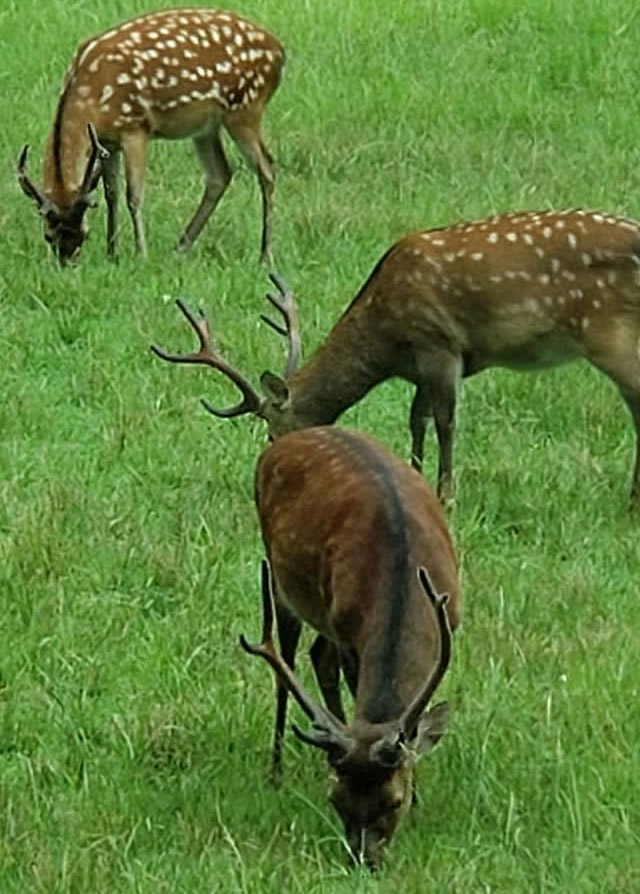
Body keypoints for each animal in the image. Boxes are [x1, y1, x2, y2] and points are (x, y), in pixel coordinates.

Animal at [17, 8, 284, 265]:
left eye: (83, 233)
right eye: (49, 235)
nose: (67, 260)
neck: (91, 99)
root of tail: (279, 52)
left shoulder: (135, 127)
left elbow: (133, 195)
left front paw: (140, 254)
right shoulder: (107, 141)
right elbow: (111, 194)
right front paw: (112, 253)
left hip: (245, 108)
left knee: (266, 167)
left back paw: (265, 255)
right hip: (207, 126)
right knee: (220, 174)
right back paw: (180, 248)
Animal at [151, 208, 640, 504]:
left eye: (273, 433)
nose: (273, 469)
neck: (384, 340)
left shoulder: (439, 344)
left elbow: (445, 422)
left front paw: (446, 495)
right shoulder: (420, 364)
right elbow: (416, 420)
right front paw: (415, 476)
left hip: (609, 334)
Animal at [242, 425, 460, 868]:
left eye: (394, 801)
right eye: (336, 800)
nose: (364, 860)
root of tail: (288, 438)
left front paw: (421, 802)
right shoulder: (348, 634)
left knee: (316, 656)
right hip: (284, 585)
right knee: (287, 668)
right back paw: (278, 769)